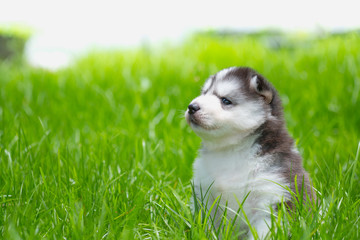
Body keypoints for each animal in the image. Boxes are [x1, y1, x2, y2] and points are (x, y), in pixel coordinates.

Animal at [186, 66, 312, 239]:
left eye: (225, 100)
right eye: (204, 93)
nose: (192, 107)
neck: (231, 150)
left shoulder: (271, 197)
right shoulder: (205, 195)